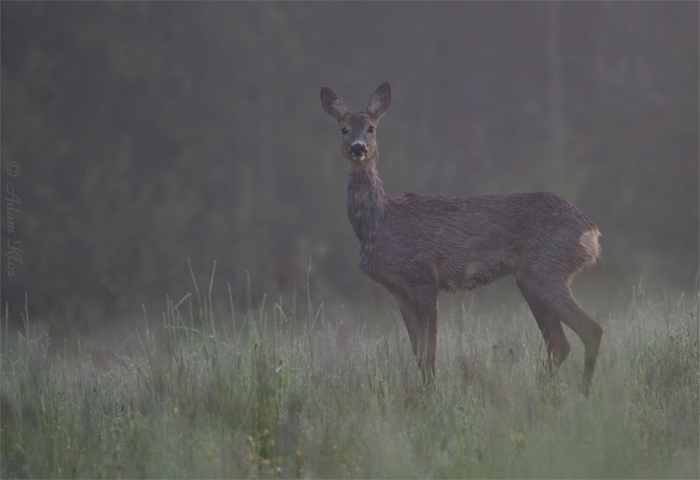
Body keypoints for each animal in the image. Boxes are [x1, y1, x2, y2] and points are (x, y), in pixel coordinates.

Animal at [322, 83, 600, 398]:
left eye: (371, 128)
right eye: (343, 129)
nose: (358, 148)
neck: (379, 222)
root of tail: (591, 232)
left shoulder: (423, 278)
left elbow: (429, 351)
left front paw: (430, 396)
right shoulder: (398, 291)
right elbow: (418, 352)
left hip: (545, 269)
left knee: (590, 330)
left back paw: (582, 394)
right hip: (529, 278)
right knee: (559, 342)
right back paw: (540, 393)